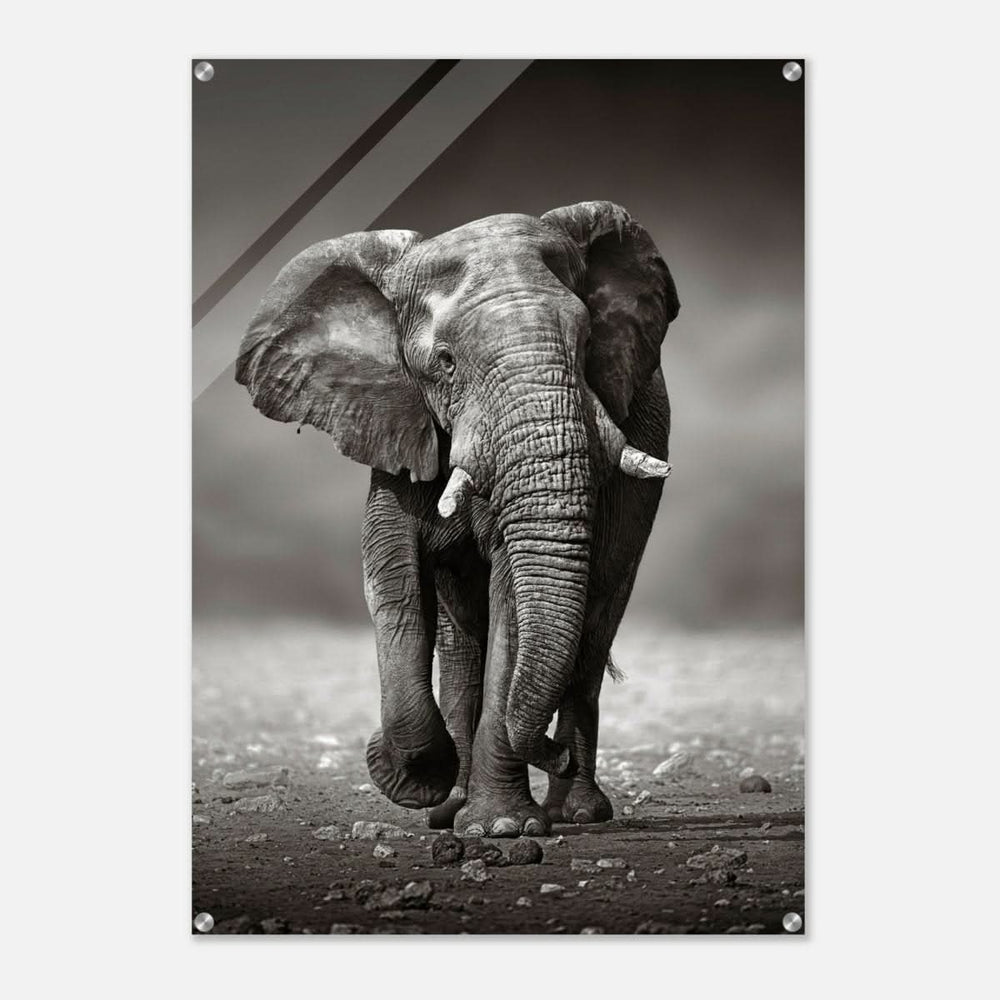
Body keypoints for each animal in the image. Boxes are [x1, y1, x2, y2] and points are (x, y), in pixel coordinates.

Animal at [236, 200, 680, 837]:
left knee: (594, 625)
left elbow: (512, 597)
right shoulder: (395, 421)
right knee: (462, 643)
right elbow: (392, 578)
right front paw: (415, 779)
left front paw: (503, 828)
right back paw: (452, 808)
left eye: (588, 341)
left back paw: (575, 812)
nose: (552, 753)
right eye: (444, 363)